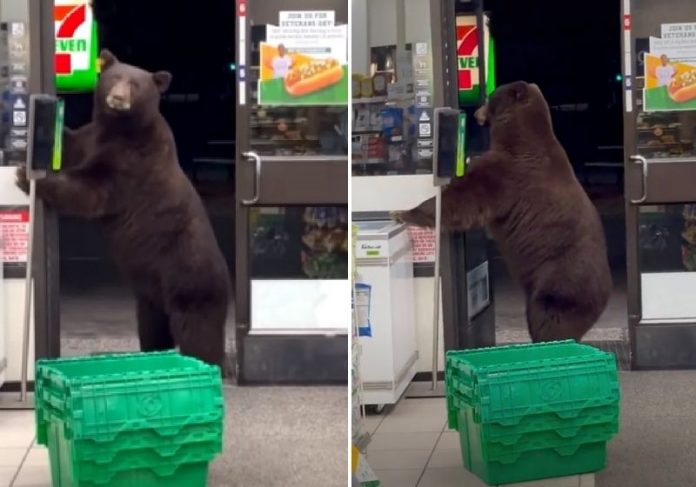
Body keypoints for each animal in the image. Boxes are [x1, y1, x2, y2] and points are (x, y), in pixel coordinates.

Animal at [15, 50, 228, 370]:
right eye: (115, 77)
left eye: (136, 85)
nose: (117, 97)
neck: (120, 129)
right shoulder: (92, 137)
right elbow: (72, 142)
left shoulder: (132, 163)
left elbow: (92, 190)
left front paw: (28, 177)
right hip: (150, 300)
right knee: (153, 330)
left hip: (191, 282)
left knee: (199, 334)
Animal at [394, 81, 612, 344]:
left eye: (490, 96)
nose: (476, 112)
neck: (517, 135)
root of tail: (605, 293)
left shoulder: (509, 175)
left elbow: (464, 198)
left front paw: (403, 212)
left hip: (559, 284)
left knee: (548, 322)